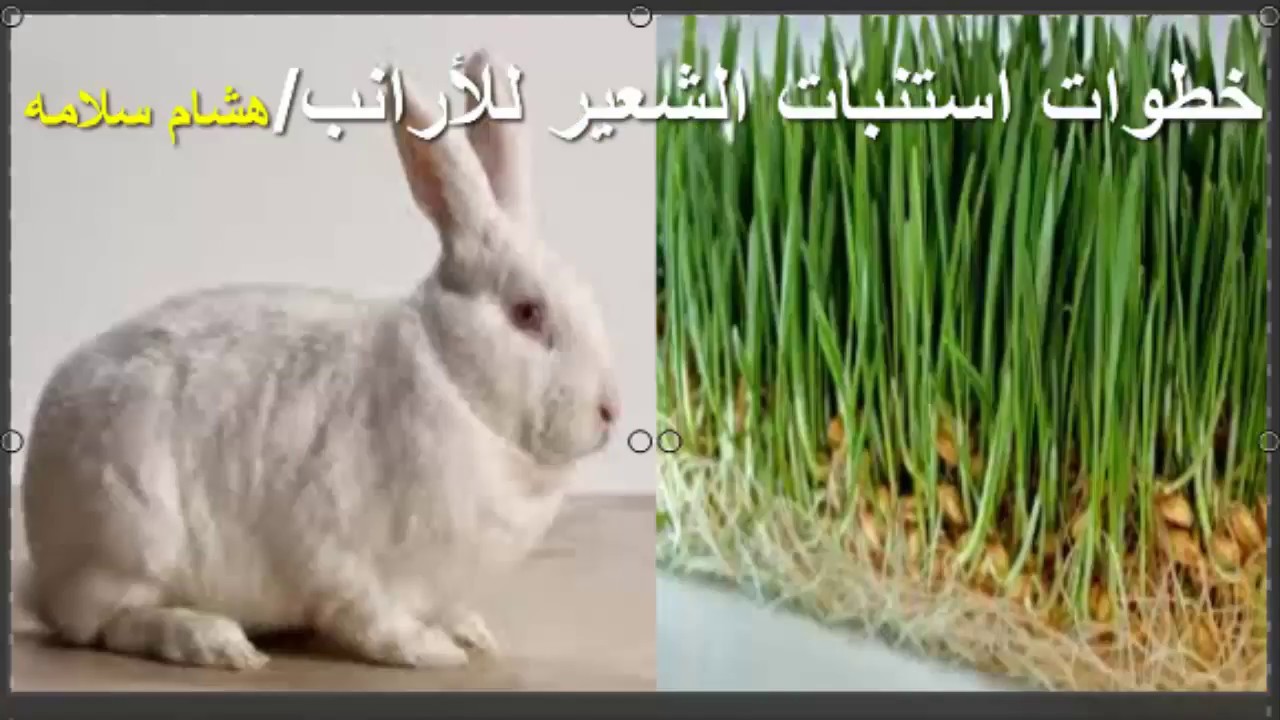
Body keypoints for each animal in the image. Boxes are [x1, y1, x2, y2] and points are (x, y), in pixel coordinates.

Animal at [19, 49, 620, 671]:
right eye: (528, 313)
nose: (610, 411)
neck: (452, 377)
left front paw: (472, 633)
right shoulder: (345, 553)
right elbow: (369, 618)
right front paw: (432, 651)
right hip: (131, 532)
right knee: (108, 623)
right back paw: (216, 641)